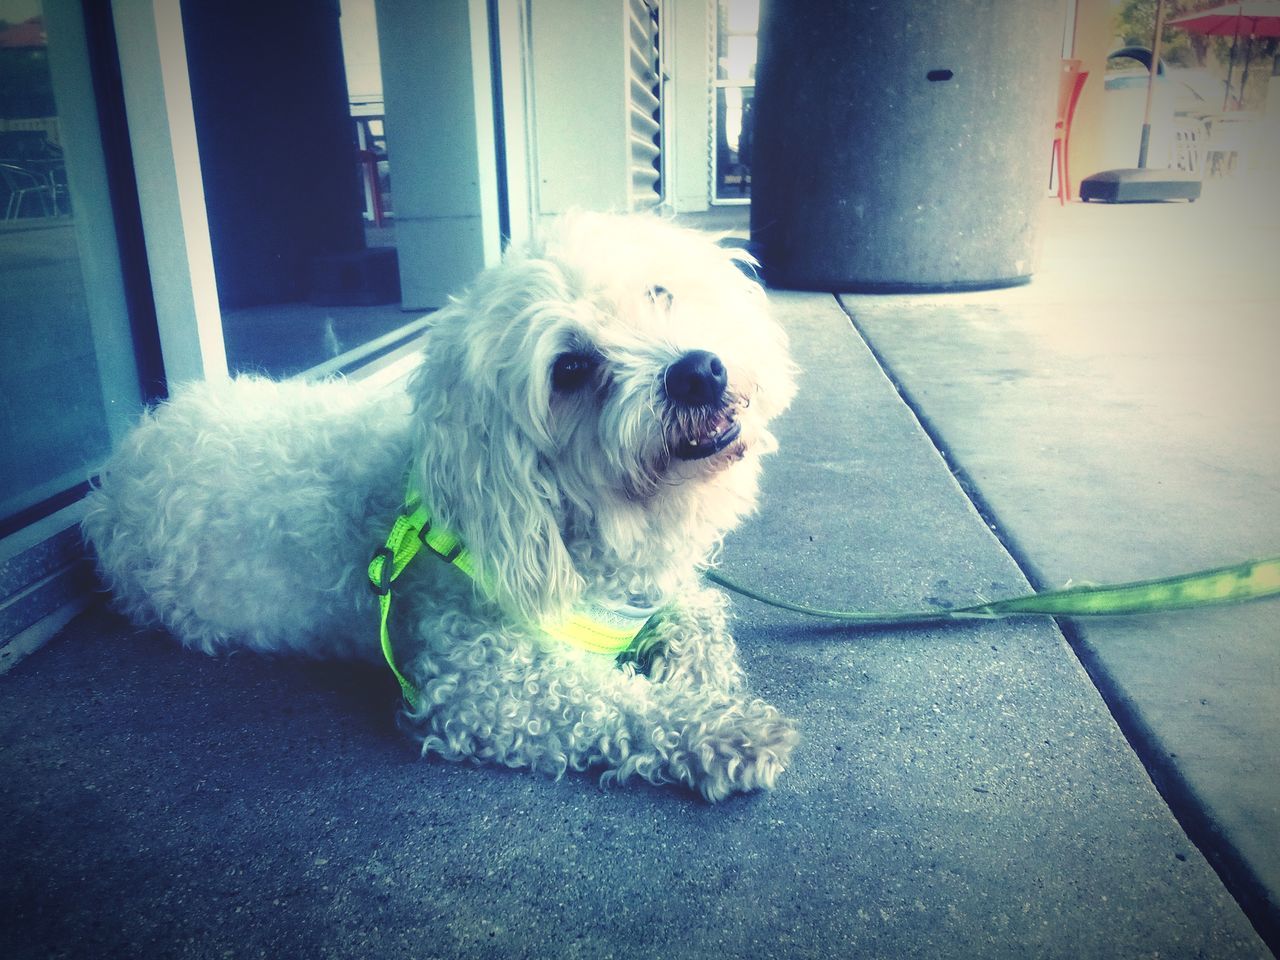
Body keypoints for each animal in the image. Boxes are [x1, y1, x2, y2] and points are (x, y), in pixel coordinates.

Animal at [80, 213, 793, 798]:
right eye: (569, 369)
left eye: (659, 293)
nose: (698, 372)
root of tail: (115, 472)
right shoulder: (482, 680)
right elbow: (610, 704)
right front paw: (721, 728)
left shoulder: (658, 594)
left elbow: (701, 613)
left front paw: (704, 674)